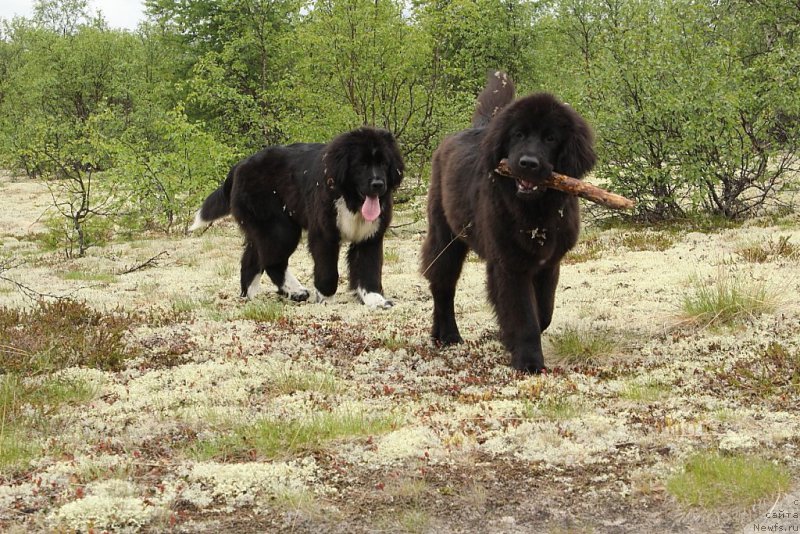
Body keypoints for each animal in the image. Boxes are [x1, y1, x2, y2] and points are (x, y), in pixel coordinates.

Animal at [192, 127, 406, 308]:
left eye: (384, 163)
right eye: (361, 164)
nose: (378, 184)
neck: (350, 199)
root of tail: (240, 165)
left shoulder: (370, 236)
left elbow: (368, 268)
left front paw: (375, 299)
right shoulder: (324, 234)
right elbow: (328, 271)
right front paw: (326, 297)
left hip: (265, 228)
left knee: (252, 260)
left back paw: (251, 297)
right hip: (279, 228)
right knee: (273, 261)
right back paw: (296, 291)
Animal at [418, 72, 592, 372]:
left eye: (550, 138)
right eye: (518, 134)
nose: (528, 163)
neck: (535, 214)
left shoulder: (549, 263)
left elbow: (543, 313)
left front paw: (506, 340)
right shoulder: (510, 265)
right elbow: (524, 317)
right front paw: (529, 362)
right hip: (446, 237)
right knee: (442, 285)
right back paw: (448, 335)